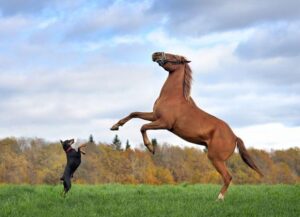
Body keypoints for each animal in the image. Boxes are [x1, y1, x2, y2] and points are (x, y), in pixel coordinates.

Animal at [110, 51, 262, 200]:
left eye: (175, 57)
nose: (156, 54)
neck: (172, 97)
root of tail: (234, 137)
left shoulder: (164, 123)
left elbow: (143, 127)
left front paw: (150, 148)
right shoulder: (154, 116)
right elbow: (134, 113)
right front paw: (115, 126)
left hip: (215, 158)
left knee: (227, 177)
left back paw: (219, 198)